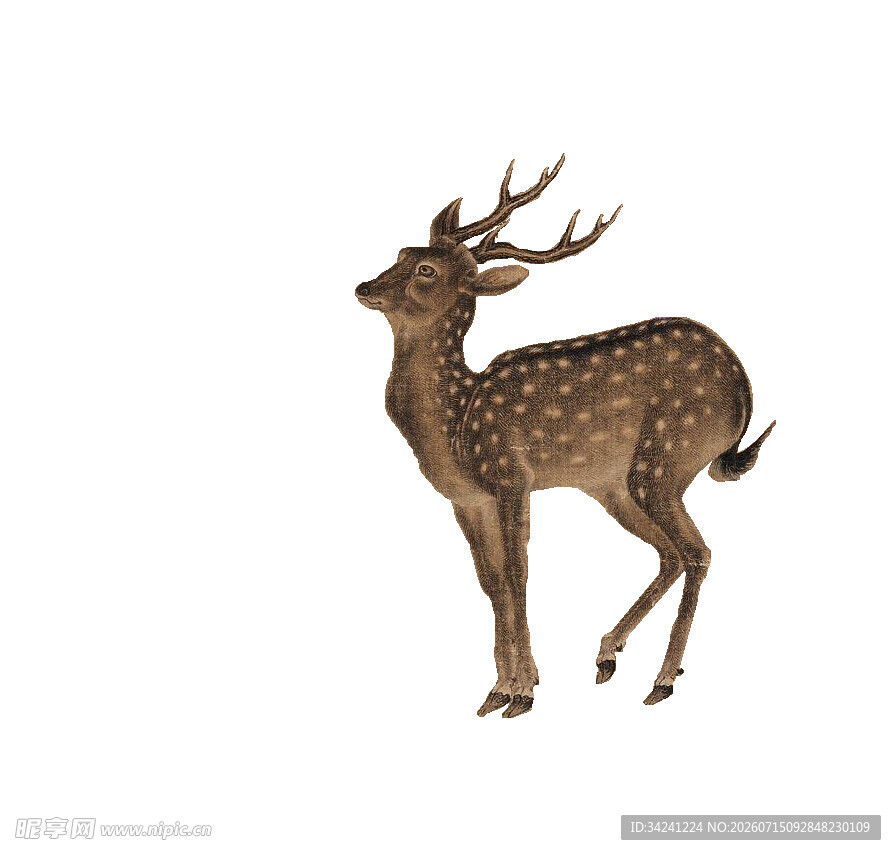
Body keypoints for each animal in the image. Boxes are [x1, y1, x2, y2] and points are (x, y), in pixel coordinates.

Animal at [355, 155, 775, 718]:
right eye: (403, 252)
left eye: (427, 270)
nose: (363, 287)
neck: (456, 418)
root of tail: (744, 390)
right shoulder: (465, 498)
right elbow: (491, 582)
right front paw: (497, 690)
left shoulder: (511, 474)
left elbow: (518, 572)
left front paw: (522, 692)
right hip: (614, 486)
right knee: (669, 552)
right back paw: (607, 655)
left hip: (665, 458)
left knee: (697, 551)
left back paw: (662, 679)